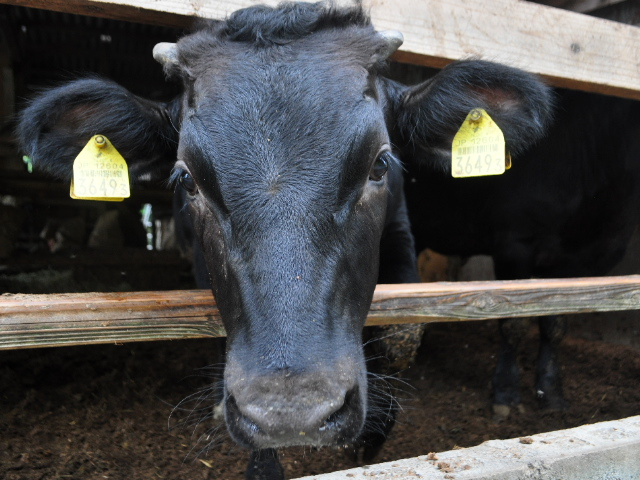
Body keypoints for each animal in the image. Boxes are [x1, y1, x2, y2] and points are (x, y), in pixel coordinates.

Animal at [17, 1, 552, 478]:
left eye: (380, 163)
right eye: (187, 178)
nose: (294, 413)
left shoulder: (401, 229)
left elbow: (404, 334)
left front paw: (374, 435)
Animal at [404, 88, 640, 418]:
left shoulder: (585, 259)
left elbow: (556, 324)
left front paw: (551, 392)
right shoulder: (515, 245)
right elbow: (513, 322)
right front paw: (505, 393)